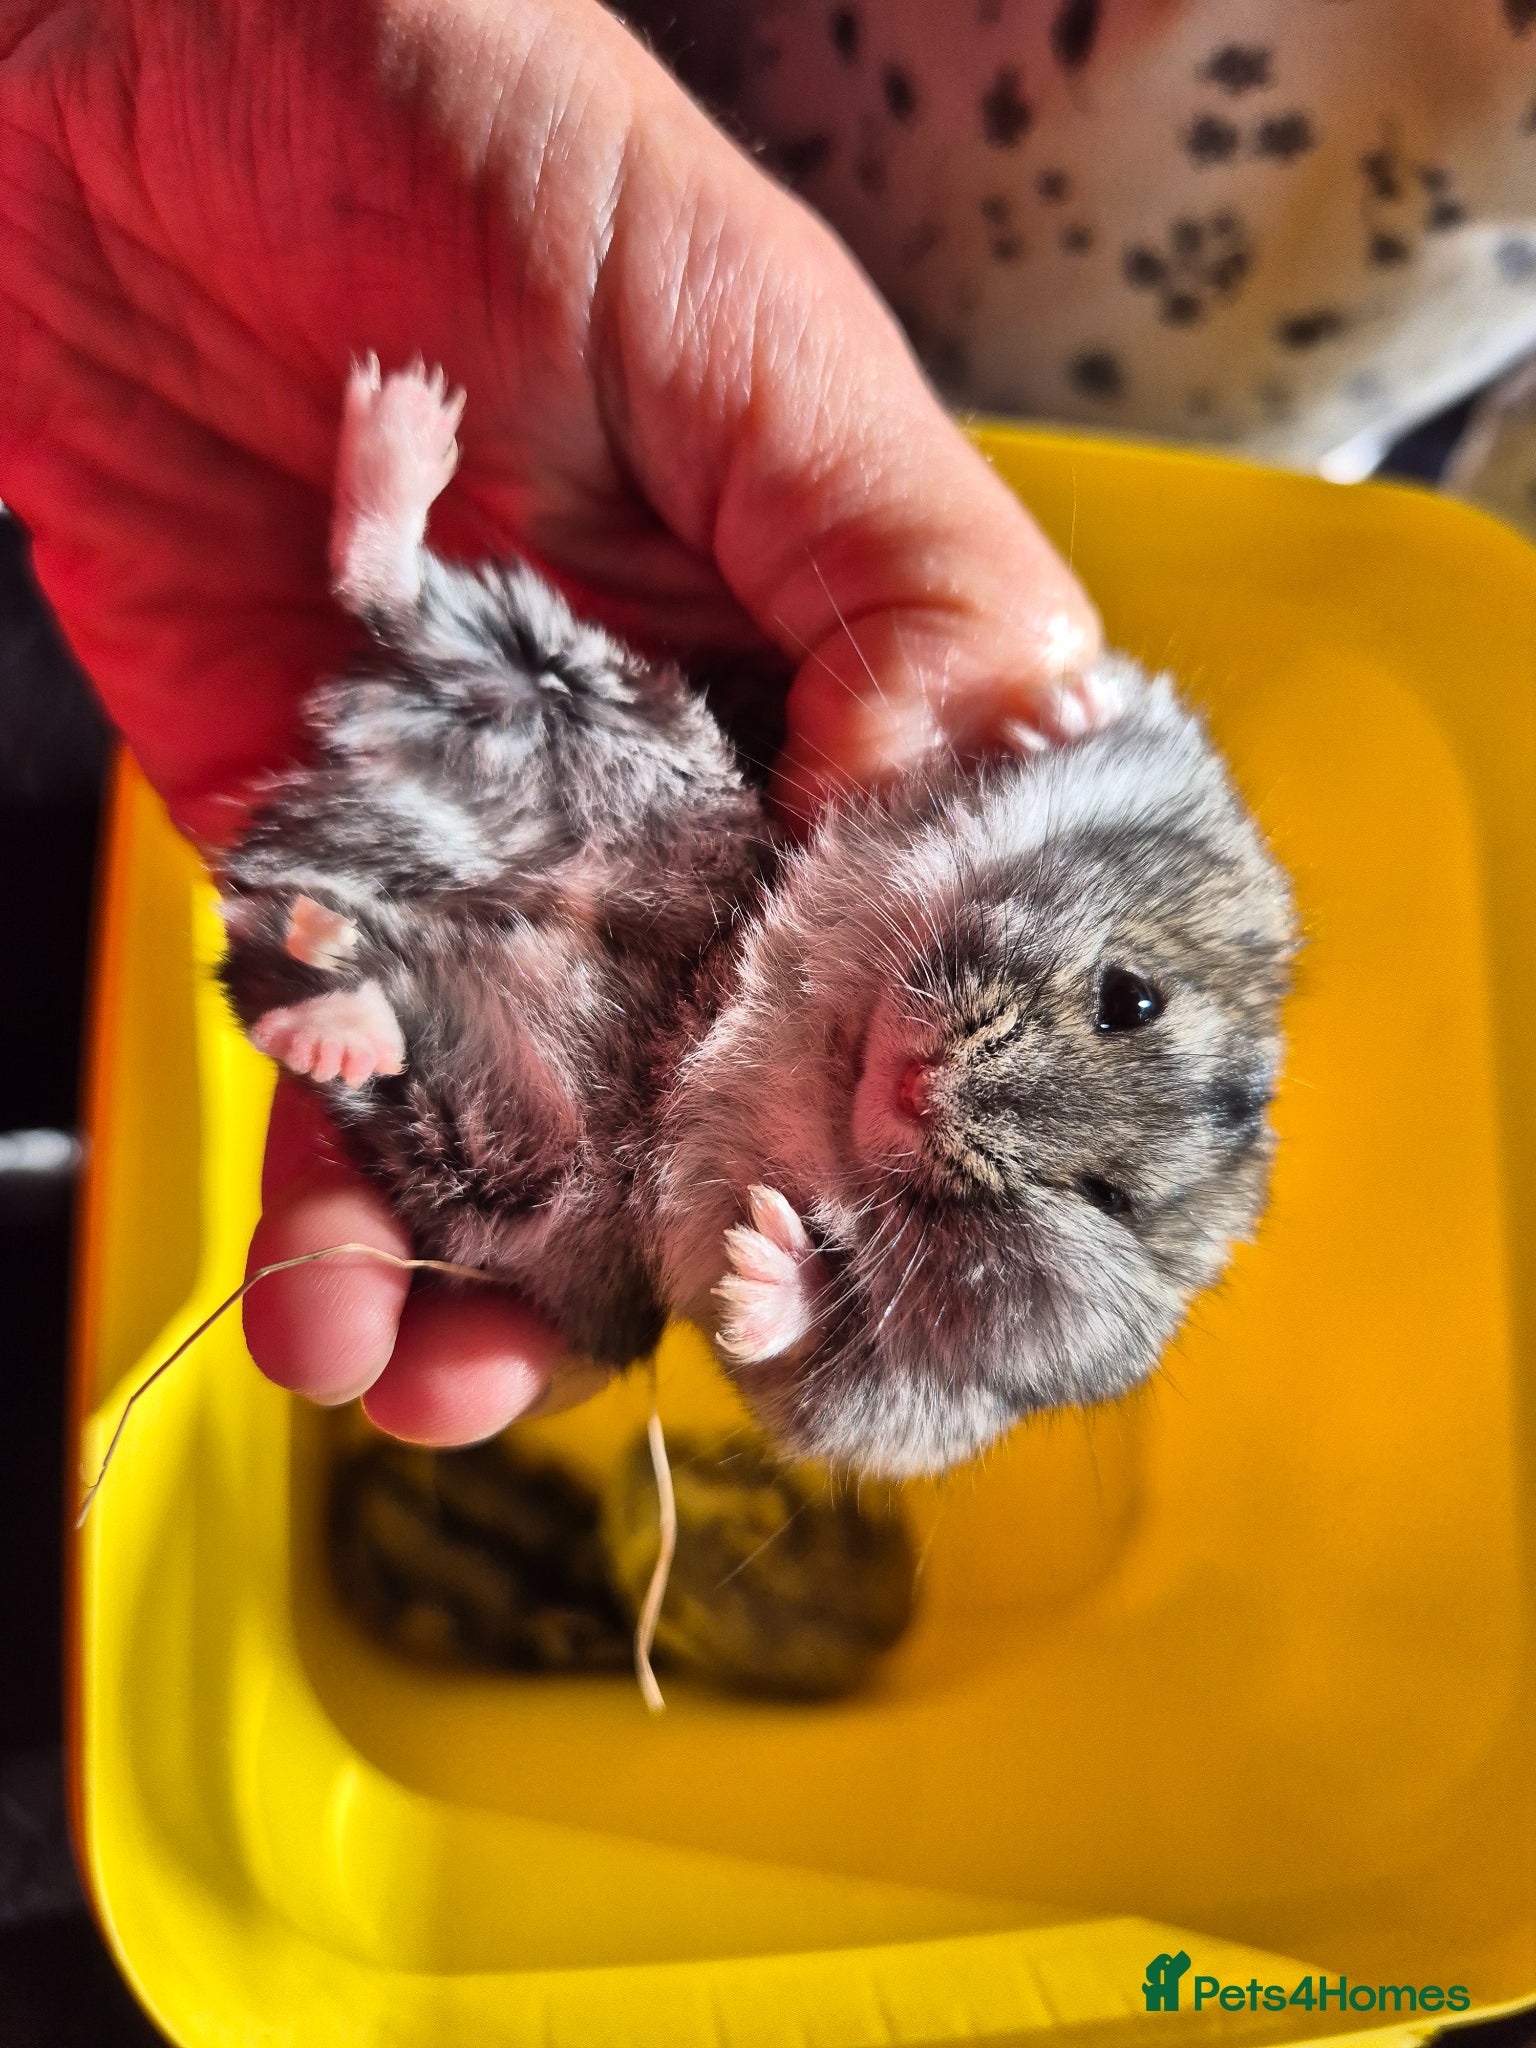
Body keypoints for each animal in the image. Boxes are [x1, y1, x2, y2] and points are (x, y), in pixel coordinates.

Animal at [218, 360, 1297, 1478]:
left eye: (1105, 1199)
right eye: (1130, 998)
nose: (918, 1088)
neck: (836, 1065)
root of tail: (303, 827)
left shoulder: (889, 1408)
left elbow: (812, 1347)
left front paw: (757, 1259)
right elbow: (1118, 741)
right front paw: (1070, 705)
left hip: (504, 1164)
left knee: (368, 1007)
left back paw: (328, 988)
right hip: (576, 684)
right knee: (389, 599)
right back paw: (407, 415)